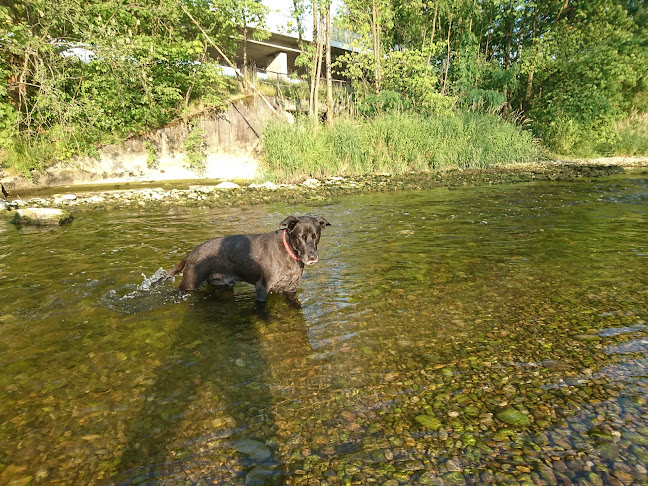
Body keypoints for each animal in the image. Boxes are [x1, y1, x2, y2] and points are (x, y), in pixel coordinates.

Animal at [156, 215, 330, 300]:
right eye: (301, 237)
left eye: (316, 236)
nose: (312, 257)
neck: (288, 252)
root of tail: (191, 253)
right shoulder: (261, 288)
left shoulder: (291, 289)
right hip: (189, 286)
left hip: (221, 284)